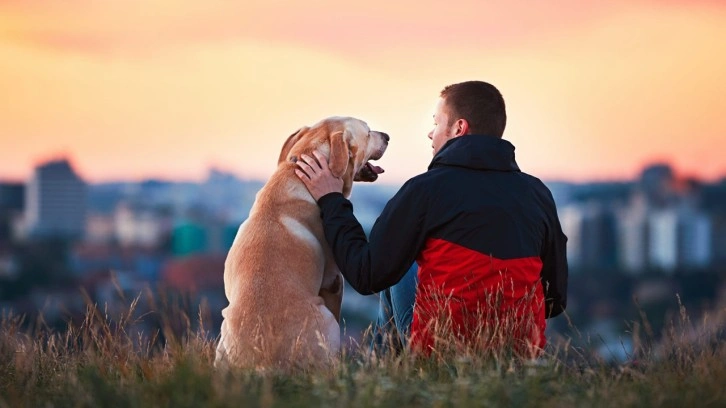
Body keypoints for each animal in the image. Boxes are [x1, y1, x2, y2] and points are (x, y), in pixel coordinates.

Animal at [216, 116, 390, 372]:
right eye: (368, 133)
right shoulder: (334, 281)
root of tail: (263, 363)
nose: (387, 136)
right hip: (326, 320)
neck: (296, 174)